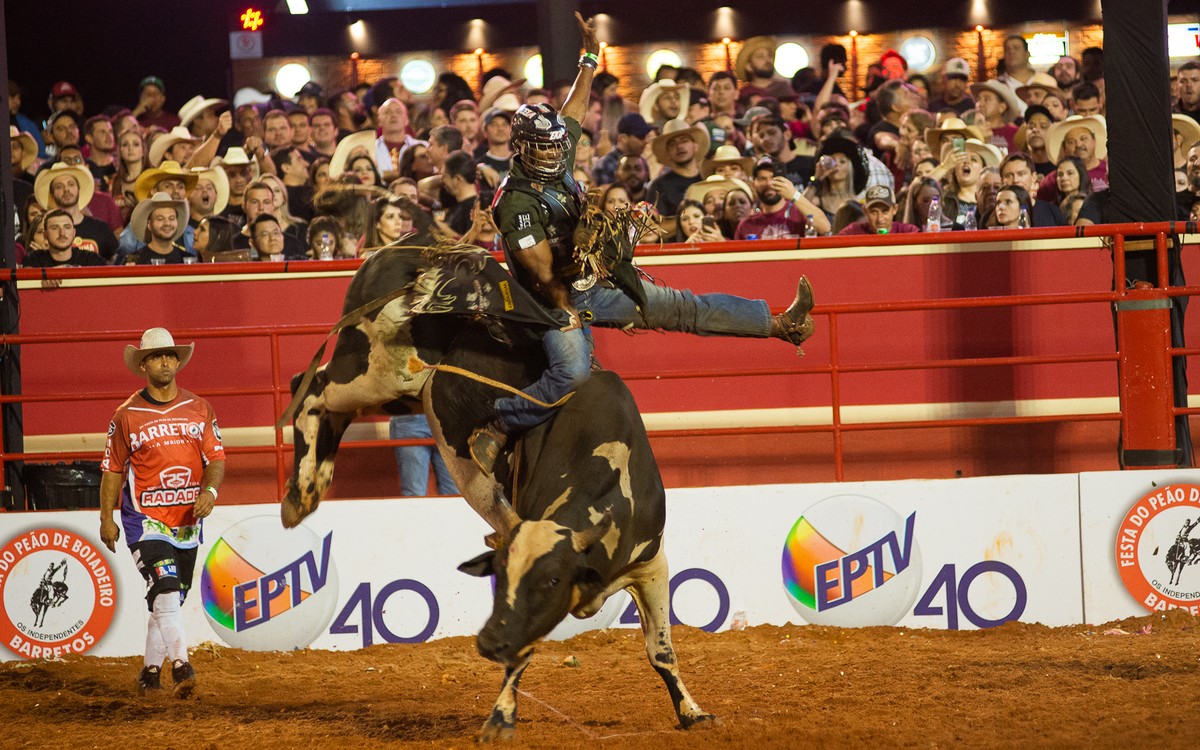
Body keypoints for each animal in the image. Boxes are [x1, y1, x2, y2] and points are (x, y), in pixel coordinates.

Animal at [456, 369, 710, 739]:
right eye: (499, 574)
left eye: (553, 579)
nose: (489, 641)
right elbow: (521, 653)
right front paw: (500, 717)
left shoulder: (651, 567)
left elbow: (661, 651)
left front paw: (692, 713)